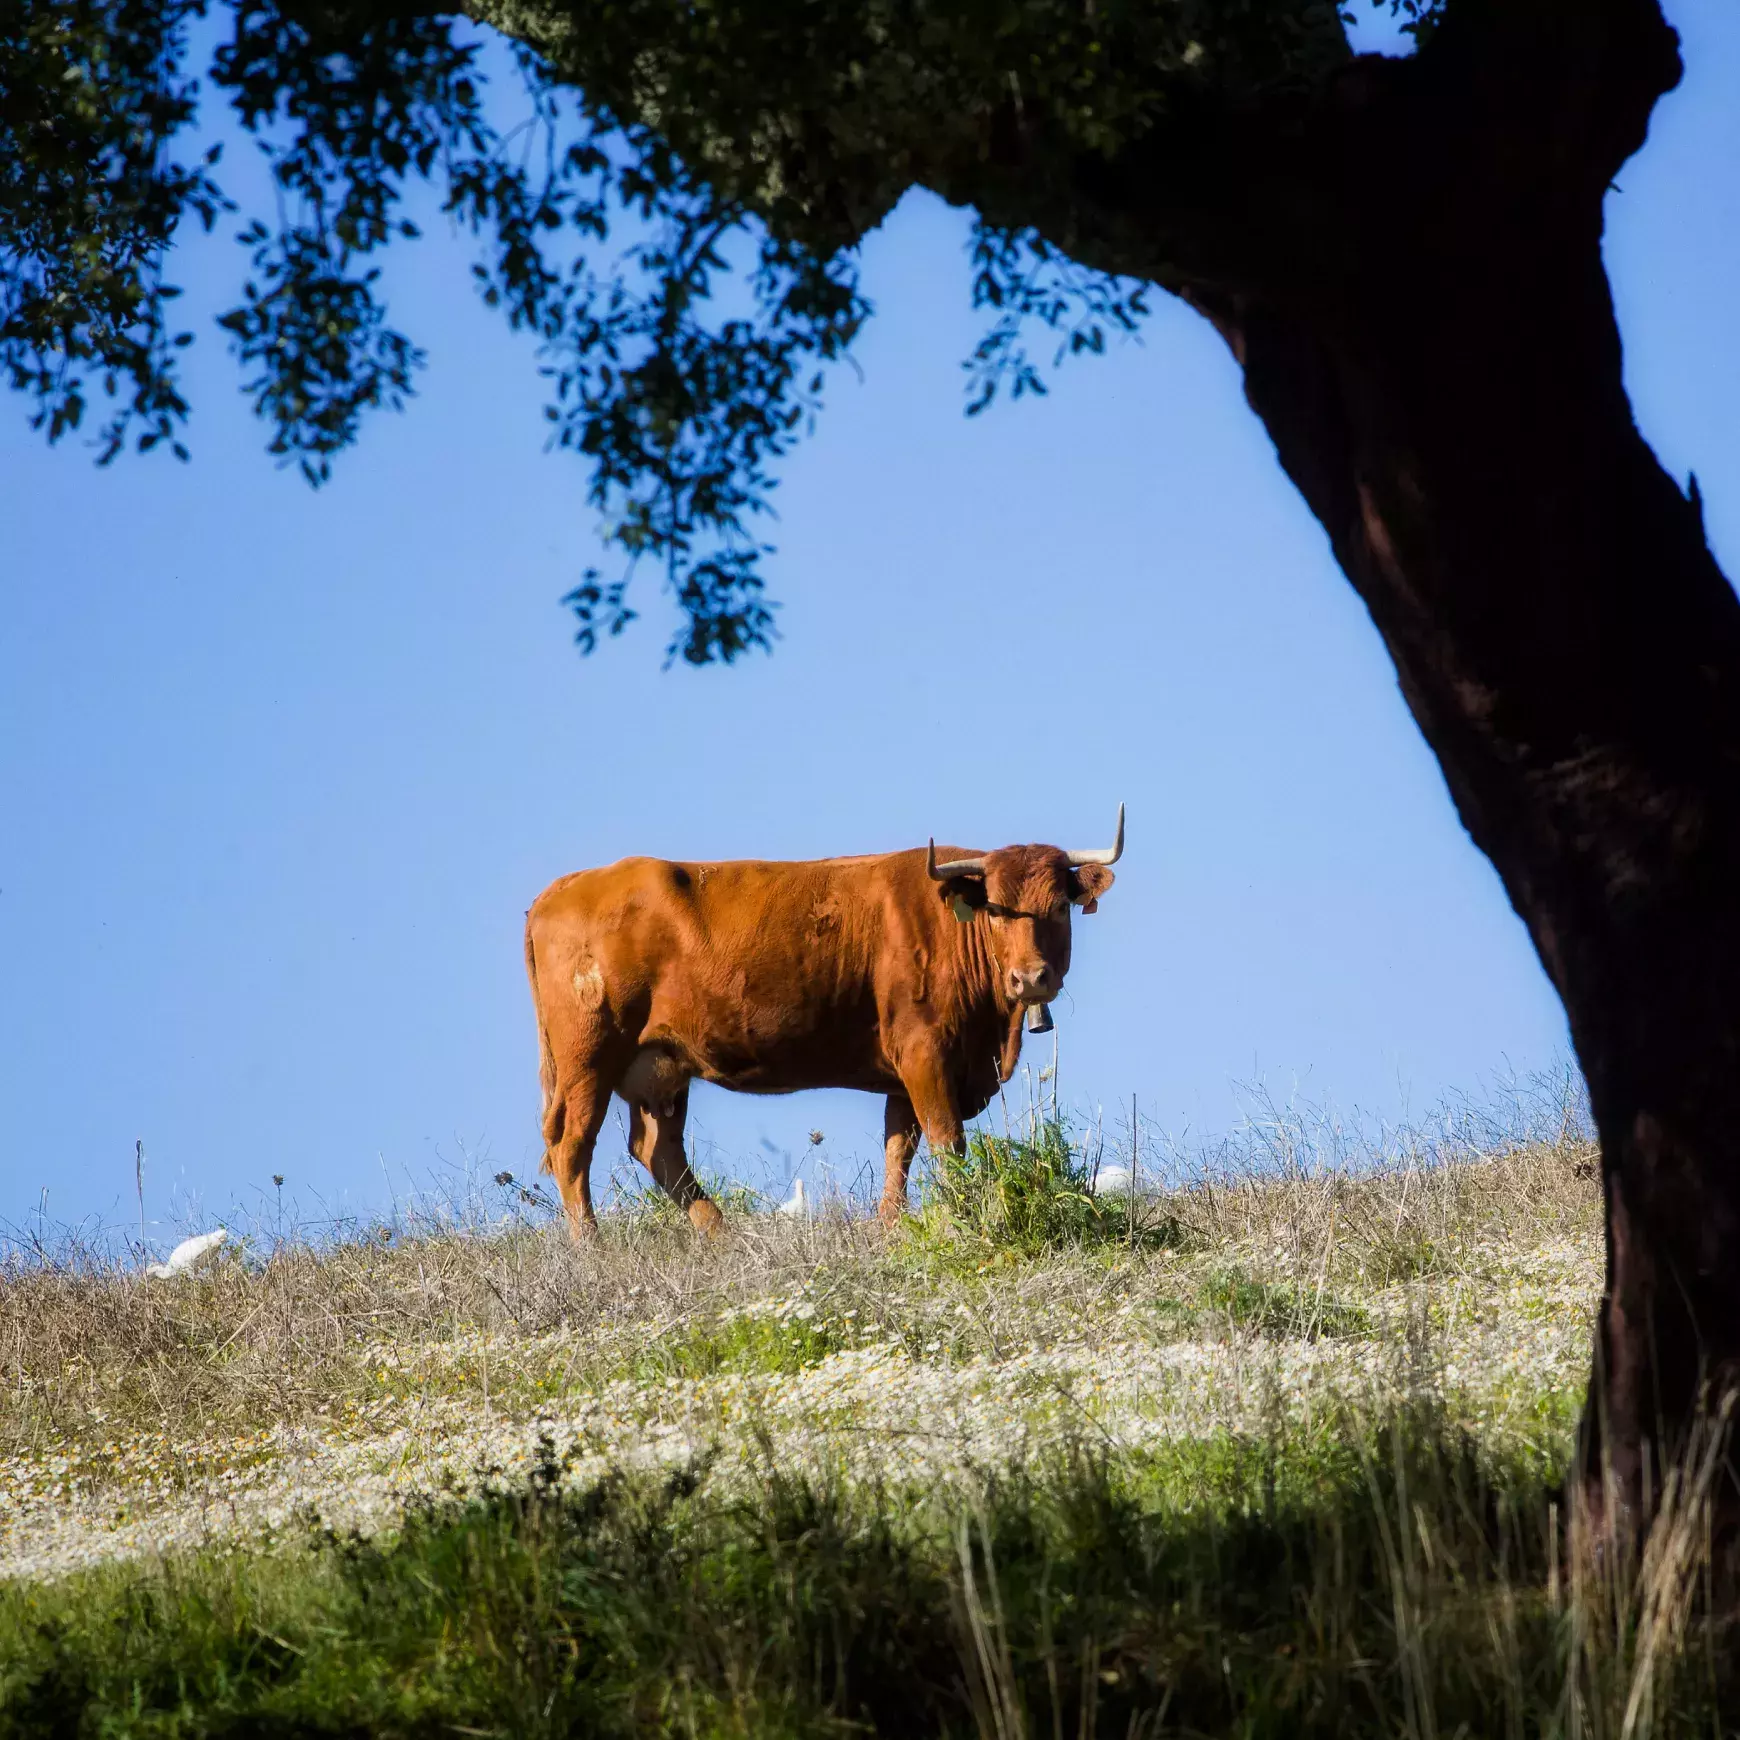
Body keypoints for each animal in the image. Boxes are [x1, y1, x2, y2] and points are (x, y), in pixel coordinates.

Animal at [522, 807, 1120, 1231]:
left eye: (1059, 907)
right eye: (995, 909)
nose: (1030, 978)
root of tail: (566, 886)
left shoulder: (906, 1072)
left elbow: (898, 1148)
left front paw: (889, 1229)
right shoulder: (925, 1052)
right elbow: (947, 1142)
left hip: (660, 1065)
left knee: (659, 1151)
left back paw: (725, 1236)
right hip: (589, 1057)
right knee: (572, 1148)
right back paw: (592, 1246)